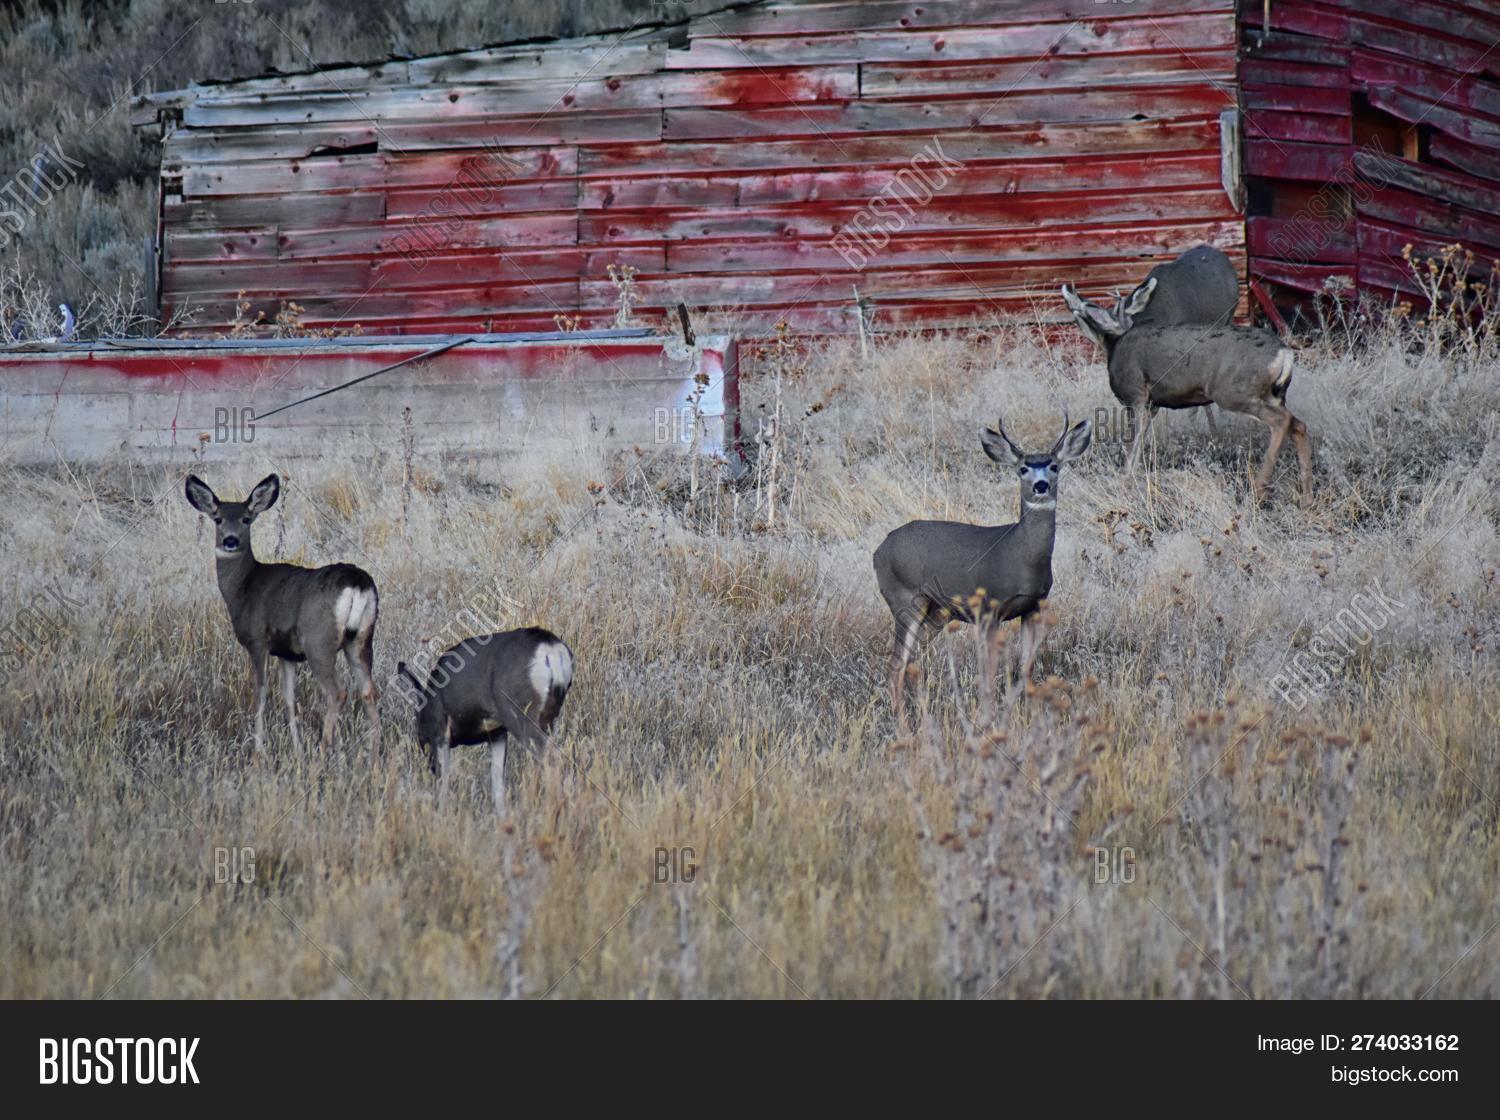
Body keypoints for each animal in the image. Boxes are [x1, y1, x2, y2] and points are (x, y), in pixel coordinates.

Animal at [184, 473, 381, 752]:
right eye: (218, 518)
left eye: (246, 518)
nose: (230, 540)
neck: (244, 587)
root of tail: (357, 583)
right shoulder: (287, 653)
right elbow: (289, 698)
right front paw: (296, 748)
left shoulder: (258, 640)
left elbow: (260, 693)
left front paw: (258, 749)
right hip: (362, 638)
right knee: (368, 691)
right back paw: (374, 750)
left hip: (319, 640)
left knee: (337, 692)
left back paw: (324, 748)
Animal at [395, 627, 573, 813]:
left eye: (419, 729)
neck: (429, 704)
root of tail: (551, 650)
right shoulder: (497, 733)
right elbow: (497, 781)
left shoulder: (440, 732)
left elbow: (444, 779)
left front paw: (442, 812)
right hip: (548, 717)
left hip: (521, 713)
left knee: (550, 758)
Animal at [873, 415, 1092, 716]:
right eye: (1023, 468)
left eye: (1054, 466)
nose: (1041, 485)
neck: (1020, 556)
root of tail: (878, 551)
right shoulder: (989, 607)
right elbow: (989, 669)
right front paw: (987, 716)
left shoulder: (1034, 606)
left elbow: (1027, 668)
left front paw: (1031, 714)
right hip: (905, 598)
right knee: (895, 663)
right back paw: (902, 719)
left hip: (936, 612)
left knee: (912, 662)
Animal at [1061, 282, 1312, 505]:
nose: (1072, 295)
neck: (1115, 345)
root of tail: (1285, 354)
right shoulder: (1152, 405)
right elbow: (1140, 445)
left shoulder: (1136, 394)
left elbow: (1131, 445)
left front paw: (1124, 483)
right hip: (1273, 394)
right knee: (1298, 424)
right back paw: (1306, 497)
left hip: (1233, 391)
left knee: (1282, 421)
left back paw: (1259, 490)